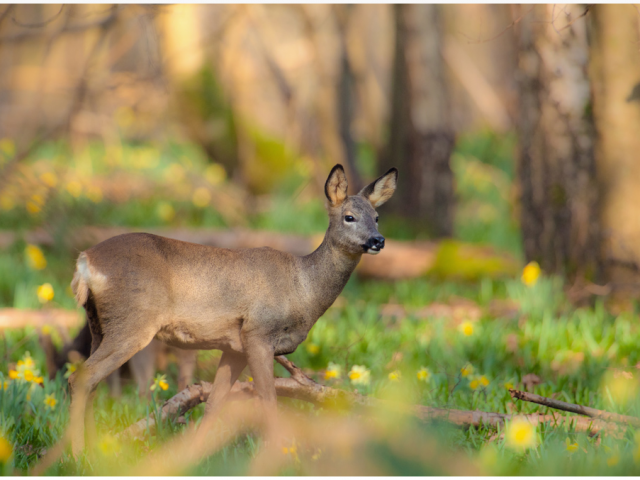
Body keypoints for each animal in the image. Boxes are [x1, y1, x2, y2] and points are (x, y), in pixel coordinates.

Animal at [69, 164, 396, 454]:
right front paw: (280, 453)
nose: (378, 240)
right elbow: (268, 399)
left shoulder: (234, 346)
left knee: (91, 381)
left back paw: (93, 450)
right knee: (83, 377)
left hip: (98, 323)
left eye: (377, 217)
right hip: (132, 323)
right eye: (349, 216)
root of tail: (85, 260)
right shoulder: (258, 333)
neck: (303, 289)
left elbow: (214, 403)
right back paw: (77, 453)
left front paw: (192, 454)